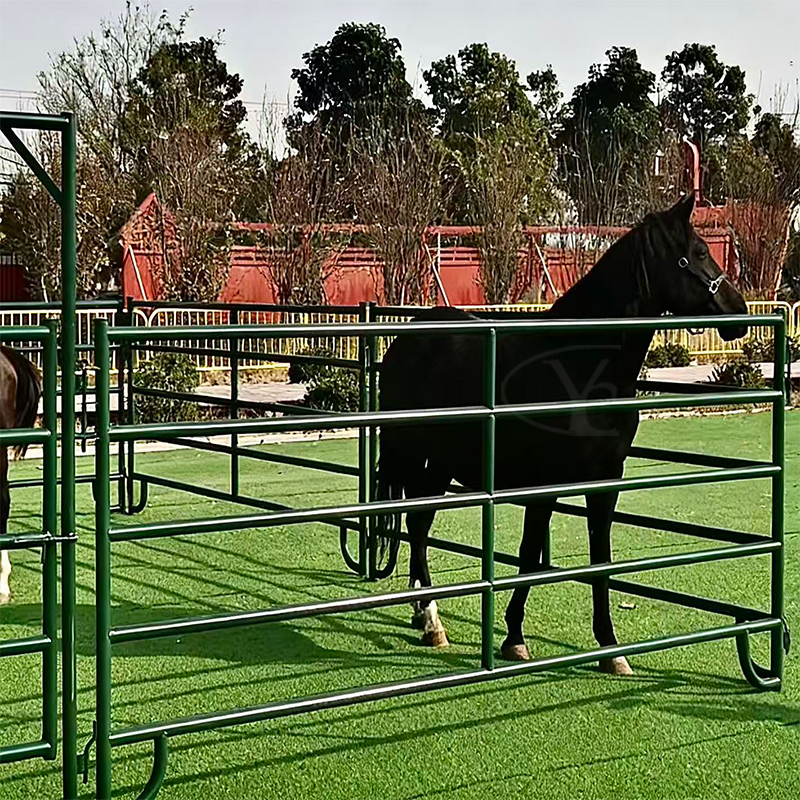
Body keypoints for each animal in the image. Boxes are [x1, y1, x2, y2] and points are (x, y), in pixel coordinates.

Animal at [377, 194, 749, 675]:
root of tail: (405, 343)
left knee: (418, 524)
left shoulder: (605, 482)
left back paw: (425, 616)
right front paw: (514, 639)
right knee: (416, 525)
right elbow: (530, 556)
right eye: (699, 253)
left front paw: (611, 649)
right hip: (412, 452)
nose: (739, 313)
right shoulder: (545, 485)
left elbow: (598, 560)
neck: (580, 364)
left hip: (440, 463)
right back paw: (431, 620)